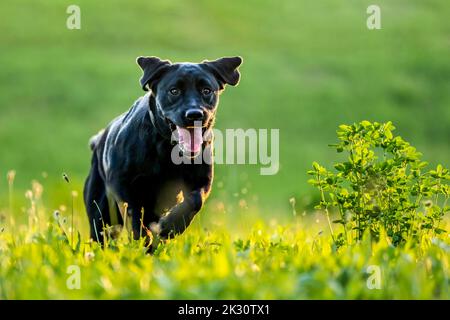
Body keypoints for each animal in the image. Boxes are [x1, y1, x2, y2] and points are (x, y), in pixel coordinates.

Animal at [82, 56, 241, 244]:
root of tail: (98, 139)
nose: (194, 114)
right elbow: (132, 211)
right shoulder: (121, 181)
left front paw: (172, 226)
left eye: (206, 90)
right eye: (174, 91)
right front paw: (142, 236)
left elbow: (195, 200)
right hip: (100, 211)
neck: (167, 149)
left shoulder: (201, 181)